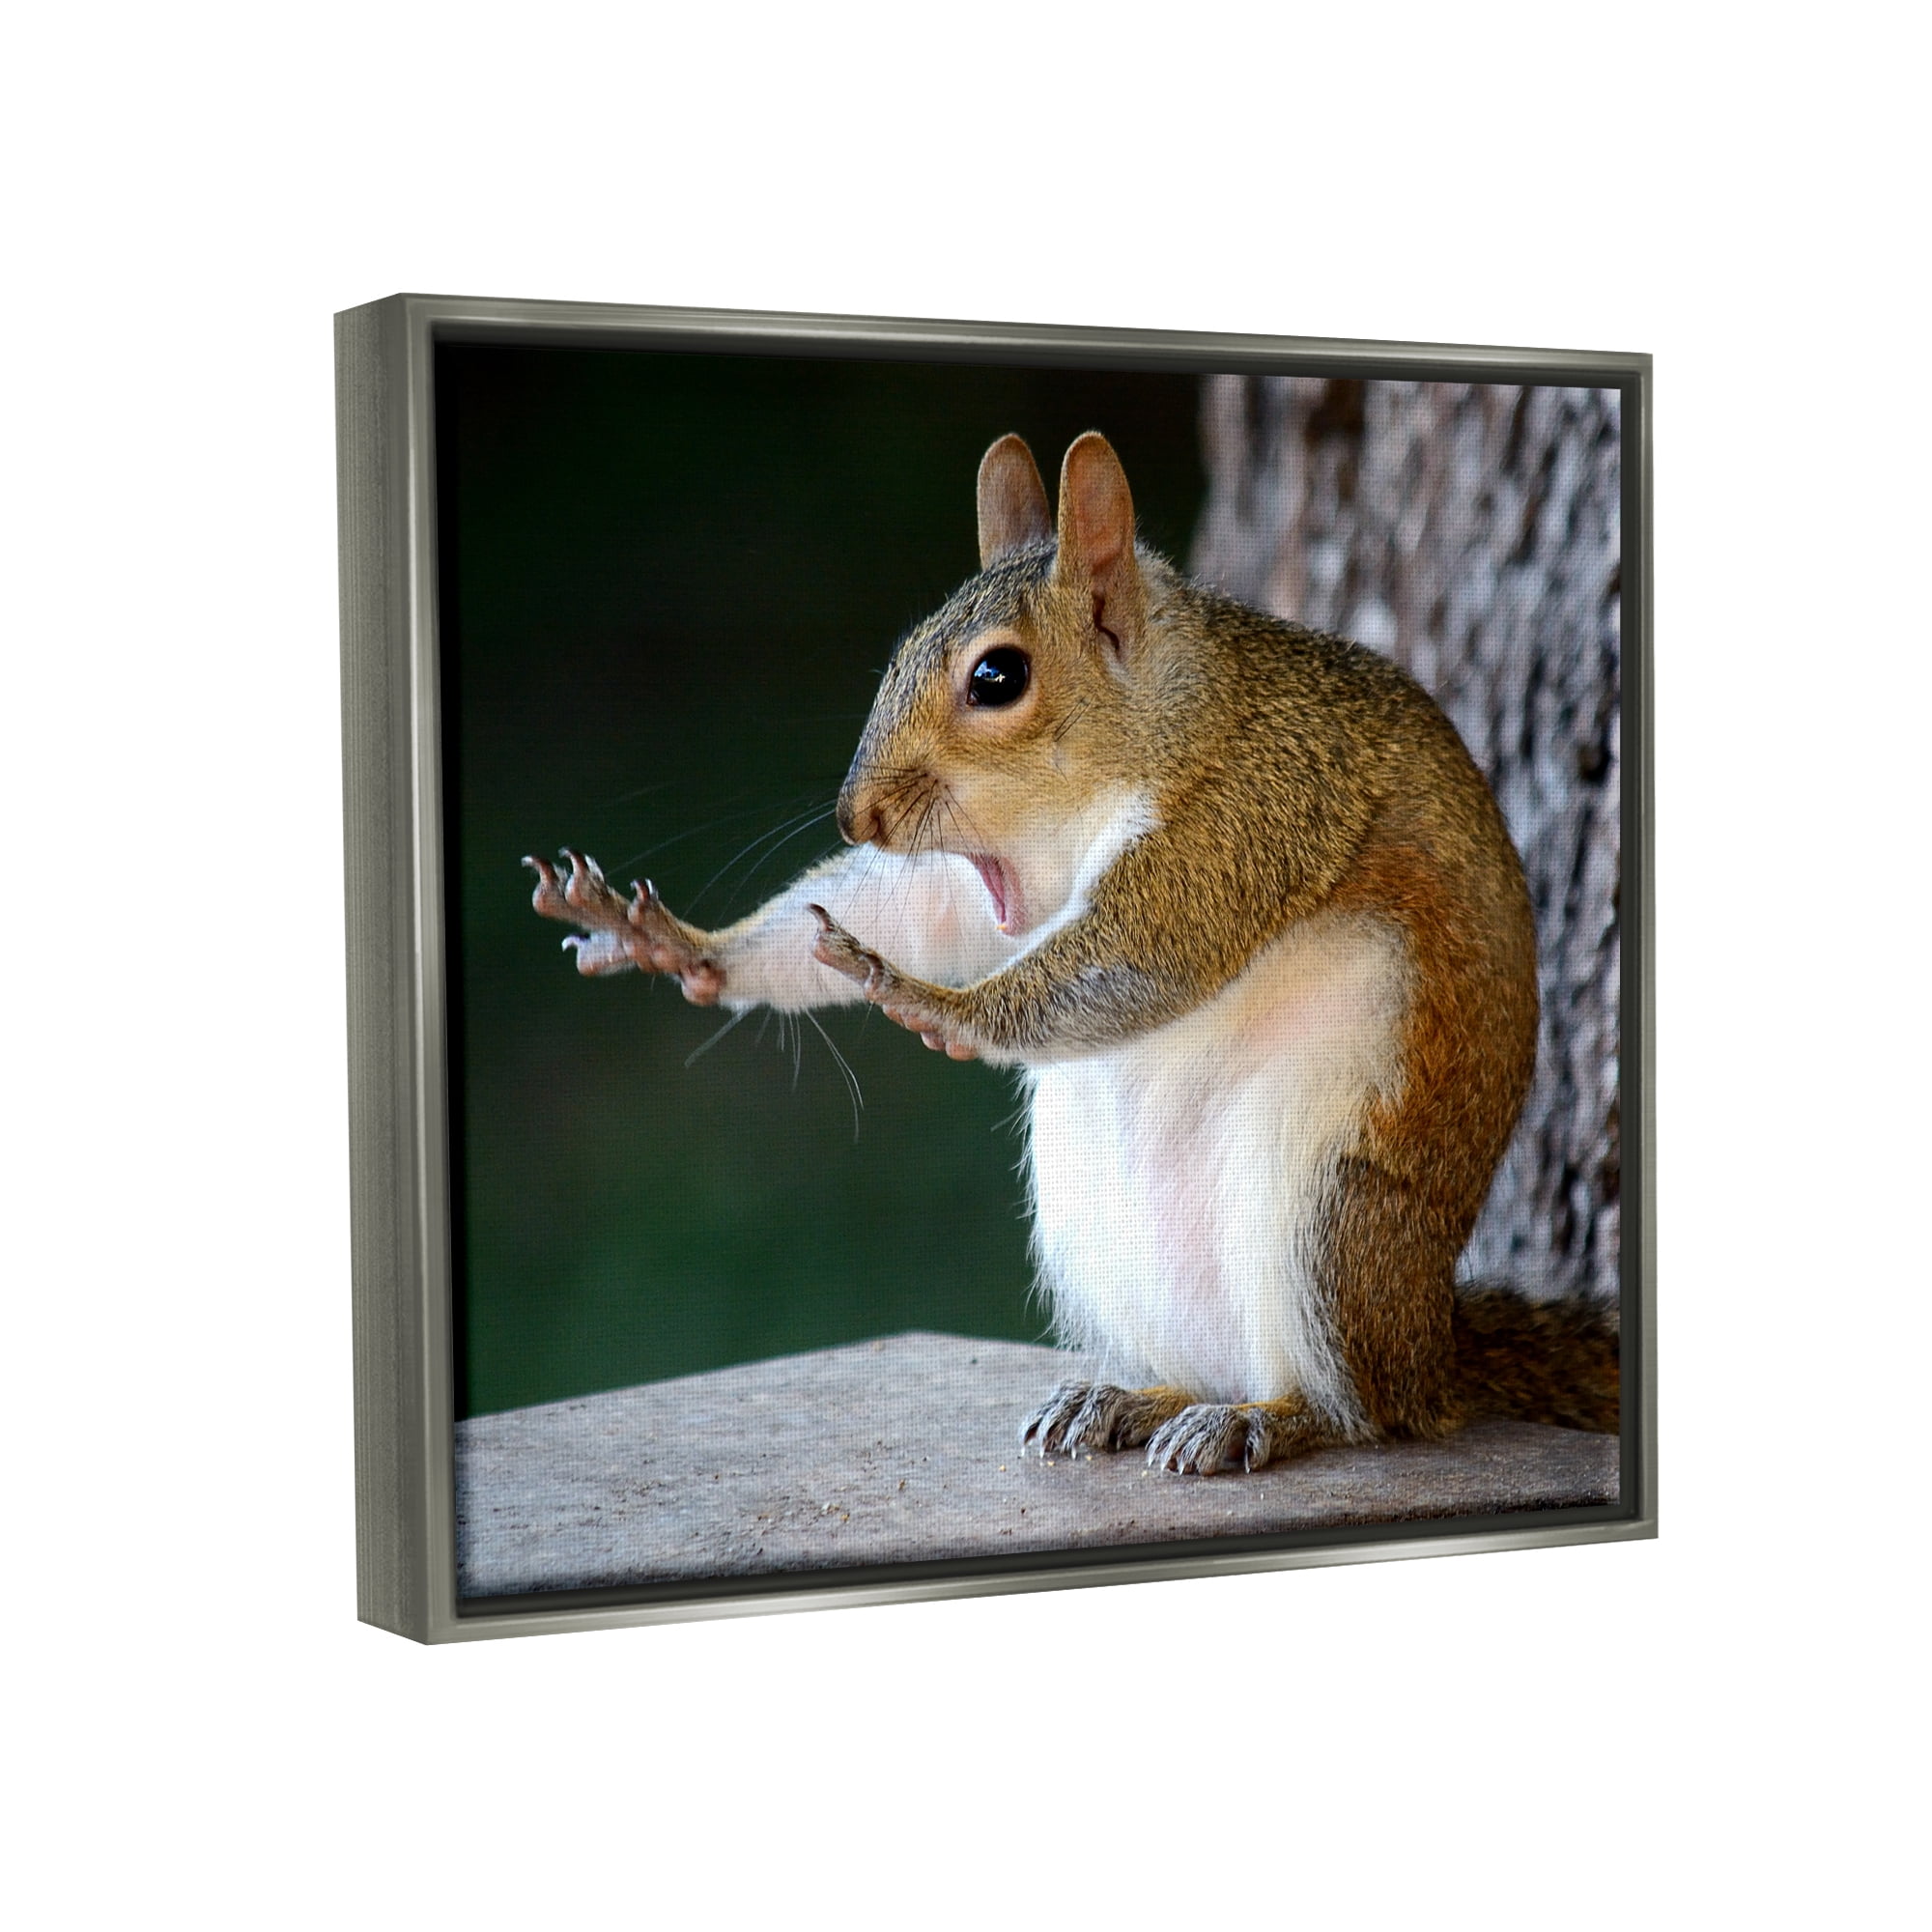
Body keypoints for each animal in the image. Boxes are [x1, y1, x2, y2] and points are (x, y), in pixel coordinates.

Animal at [526, 430, 1619, 1475]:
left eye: (996, 676)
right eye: (900, 652)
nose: (857, 814)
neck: (1155, 727)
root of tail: (1432, 1350)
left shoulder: (1252, 810)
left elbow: (1143, 954)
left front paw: (931, 1002)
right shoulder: (976, 879)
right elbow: (909, 906)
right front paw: (681, 945)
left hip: (1328, 1223)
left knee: (1360, 1411)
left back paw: (1263, 1420)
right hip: (1102, 1228)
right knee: (1203, 1367)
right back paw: (1130, 1399)